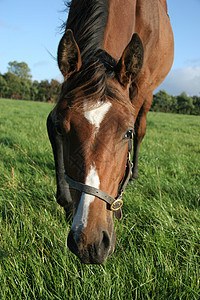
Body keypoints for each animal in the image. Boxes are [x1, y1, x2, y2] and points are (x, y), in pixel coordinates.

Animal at [47, 0, 173, 264]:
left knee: (143, 127)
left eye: (126, 133)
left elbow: (137, 130)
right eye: (63, 129)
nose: (89, 244)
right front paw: (66, 204)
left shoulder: (139, 86)